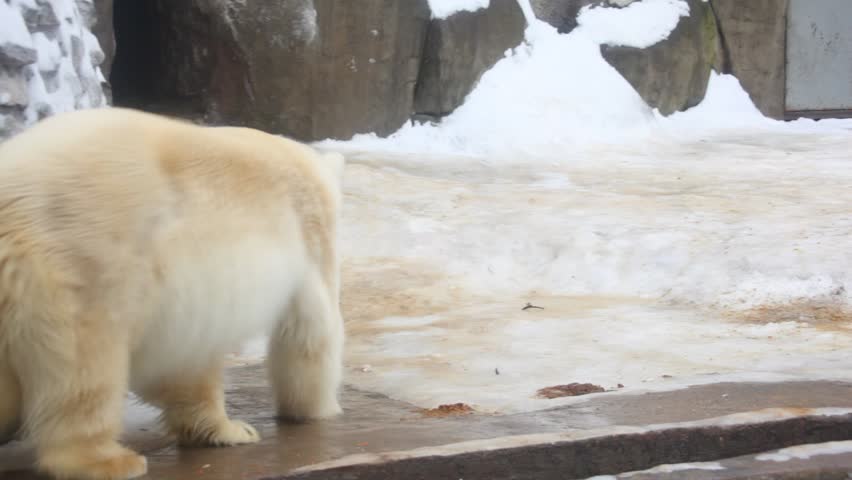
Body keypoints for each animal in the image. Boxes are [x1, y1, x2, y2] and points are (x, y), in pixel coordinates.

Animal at [0, 107, 345, 480]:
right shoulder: (308, 233)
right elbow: (310, 331)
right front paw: (307, 412)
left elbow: (185, 363)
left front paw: (220, 430)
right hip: (84, 272)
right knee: (87, 369)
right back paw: (112, 460)